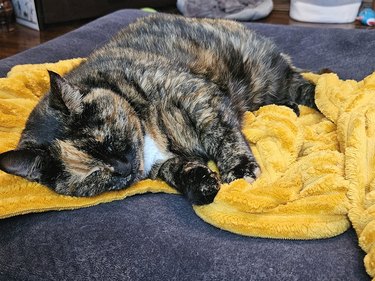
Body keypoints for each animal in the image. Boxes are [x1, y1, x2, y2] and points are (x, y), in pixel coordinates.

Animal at [0, 14, 318, 203]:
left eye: (109, 139)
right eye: (94, 173)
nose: (123, 166)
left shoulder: (198, 96)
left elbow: (222, 135)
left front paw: (239, 169)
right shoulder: (159, 165)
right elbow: (176, 170)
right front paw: (200, 183)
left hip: (267, 77)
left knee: (306, 85)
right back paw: (288, 109)